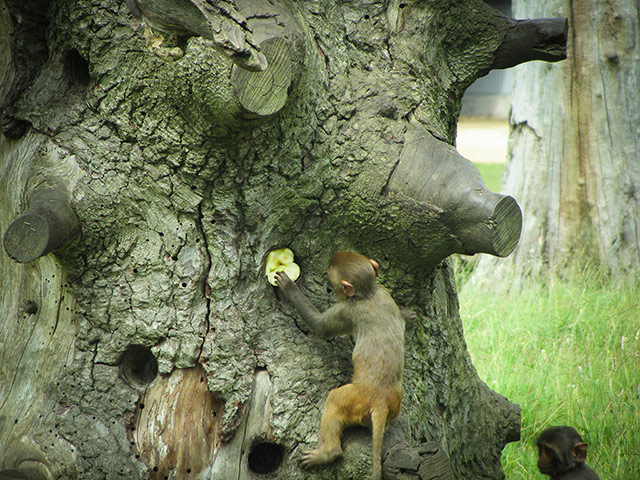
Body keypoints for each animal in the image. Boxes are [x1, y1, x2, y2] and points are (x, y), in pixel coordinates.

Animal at [275, 251, 405, 480]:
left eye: (330, 275)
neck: (368, 293)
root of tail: (380, 400)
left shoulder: (346, 310)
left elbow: (320, 326)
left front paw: (289, 287)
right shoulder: (385, 294)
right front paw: (409, 314)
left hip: (355, 400)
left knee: (335, 399)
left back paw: (328, 452)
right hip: (394, 403)